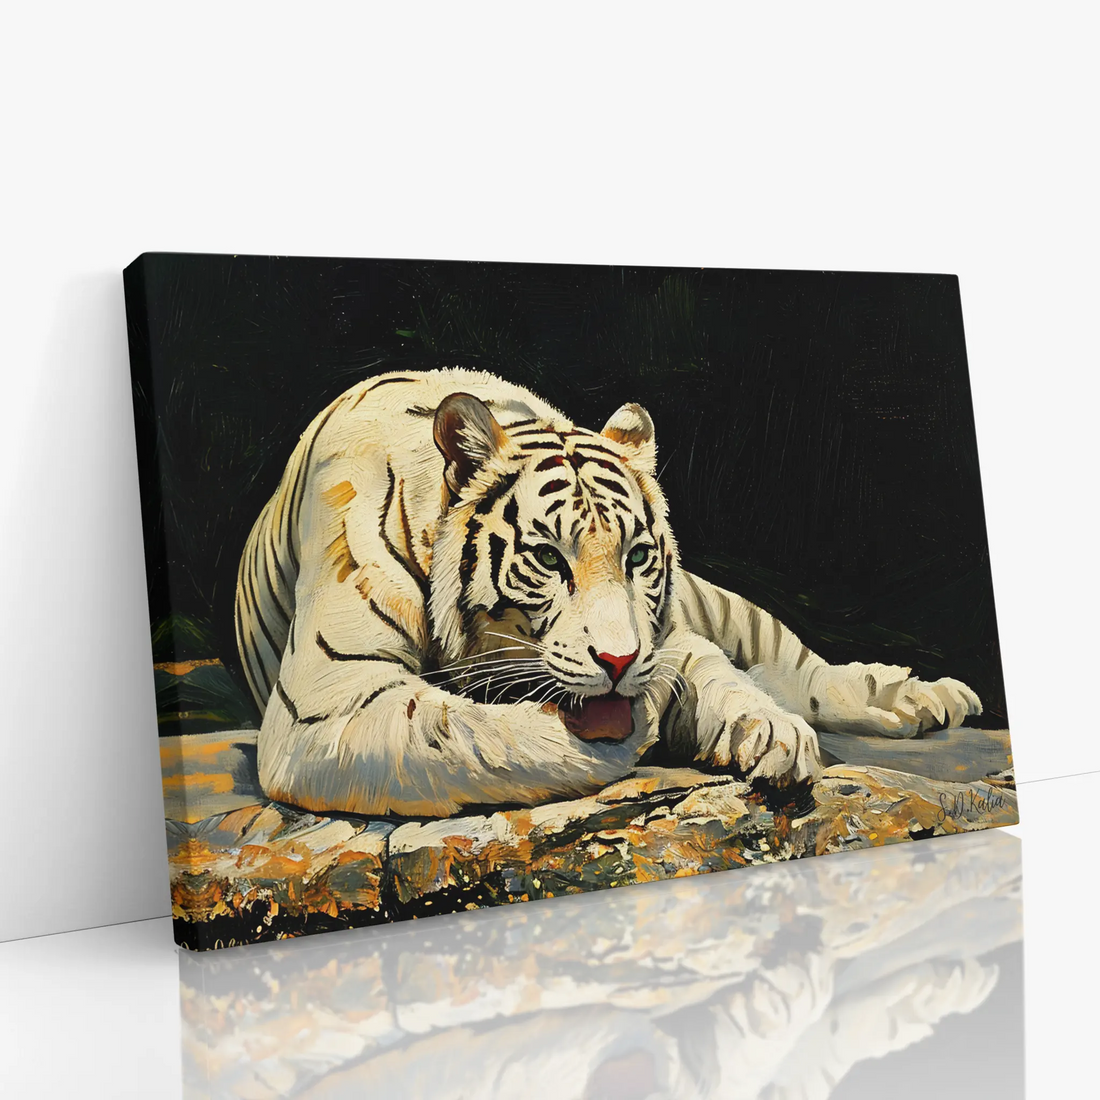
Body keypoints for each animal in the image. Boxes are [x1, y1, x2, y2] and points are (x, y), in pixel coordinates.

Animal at [235, 368, 982, 818]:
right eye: (546, 557)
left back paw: (928, 698)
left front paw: (767, 732)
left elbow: (717, 672)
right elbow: (465, 733)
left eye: (638, 557)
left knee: (802, 669)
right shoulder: (333, 701)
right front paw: (636, 729)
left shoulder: (673, 632)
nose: (620, 664)